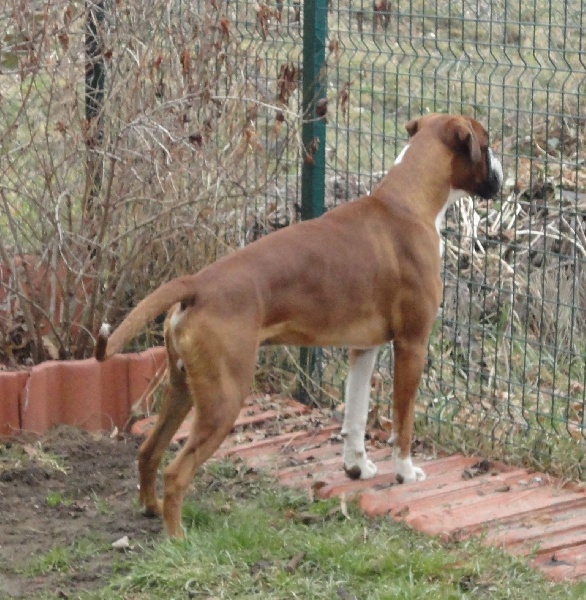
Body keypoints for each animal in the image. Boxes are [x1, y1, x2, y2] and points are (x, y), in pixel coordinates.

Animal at [96, 113, 502, 540]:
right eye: (487, 144)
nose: (503, 174)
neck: (406, 201)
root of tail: (197, 283)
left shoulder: (364, 349)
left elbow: (356, 416)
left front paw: (357, 467)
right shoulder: (412, 344)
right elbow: (403, 422)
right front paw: (405, 472)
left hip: (183, 390)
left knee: (149, 451)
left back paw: (150, 509)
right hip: (224, 399)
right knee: (177, 472)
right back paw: (178, 539)